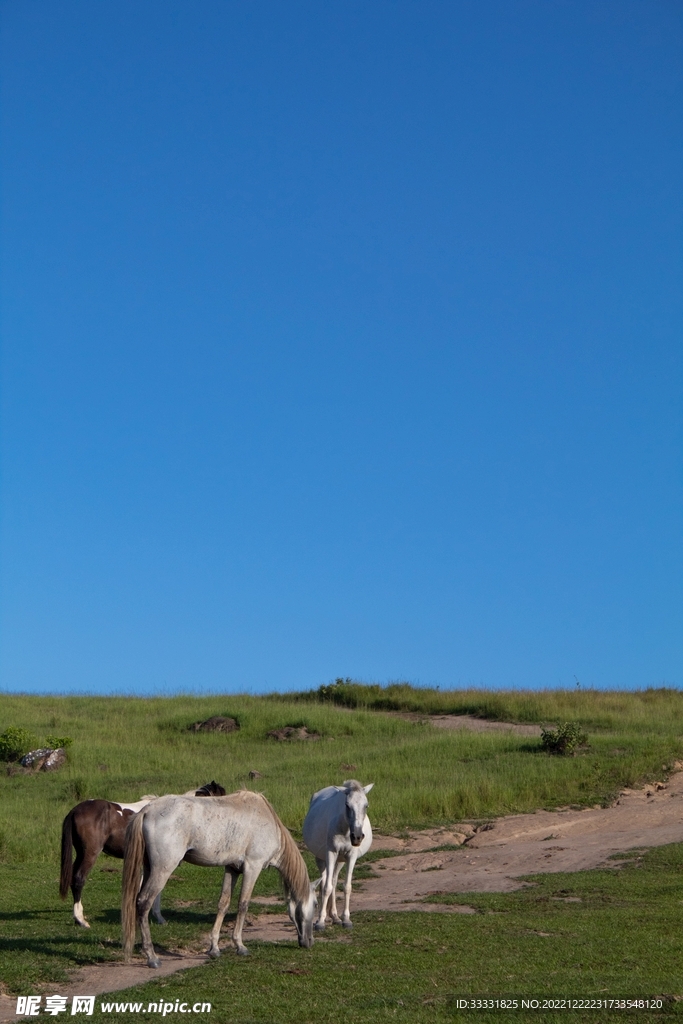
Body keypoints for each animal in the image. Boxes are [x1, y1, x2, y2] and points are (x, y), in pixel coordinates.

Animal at [60, 782, 225, 927]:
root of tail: (75, 810)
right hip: (90, 853)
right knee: (79, 879)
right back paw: (81, 920)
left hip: (81, 854)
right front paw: (158, 918)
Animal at [122, 790, 316, 967]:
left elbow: (224, 903)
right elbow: (243, 904)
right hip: (162, 869)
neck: (268, 821)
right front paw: (240, 946)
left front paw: (214, 948)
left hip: (149, 868)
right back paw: (152, 957)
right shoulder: (253, 867)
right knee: (144, 902)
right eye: (315, 904)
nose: (309, 941)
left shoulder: (232, 869)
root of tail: (147, 809)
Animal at [302, 779, 373, 930]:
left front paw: (346, 919)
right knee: (325, 882)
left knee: (334, 881)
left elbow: (347, 887)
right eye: (347, 805)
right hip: (321, 858)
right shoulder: (331, 853)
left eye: (366, 805)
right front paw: (320, 922)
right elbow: (326, 887)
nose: (357, 837)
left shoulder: (351, 856)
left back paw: (335, 916)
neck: (345, 829)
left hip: (340, 860)